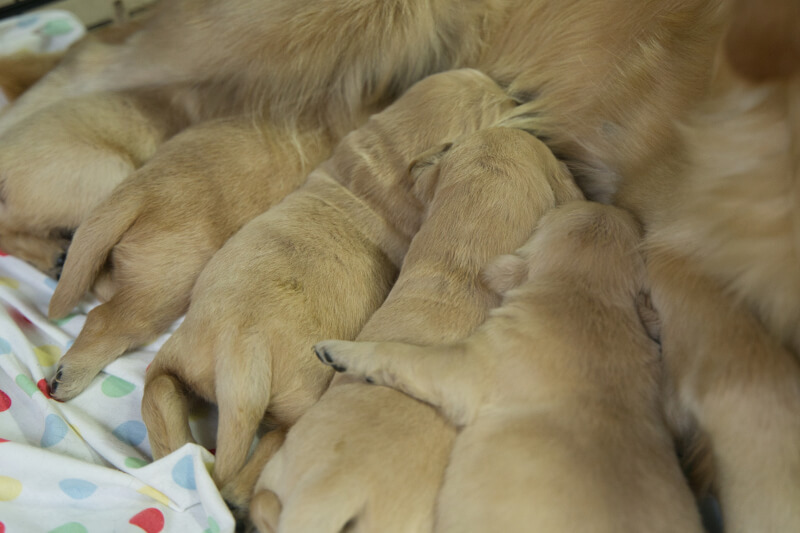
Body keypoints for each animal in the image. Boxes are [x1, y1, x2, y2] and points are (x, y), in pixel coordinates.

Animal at [140, 68, 516, 512]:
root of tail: (241, 344)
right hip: (299, 402)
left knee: (160, 399)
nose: (512, 93)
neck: (380, 162)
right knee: (259, 460)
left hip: (176, 358)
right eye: (490, 108)